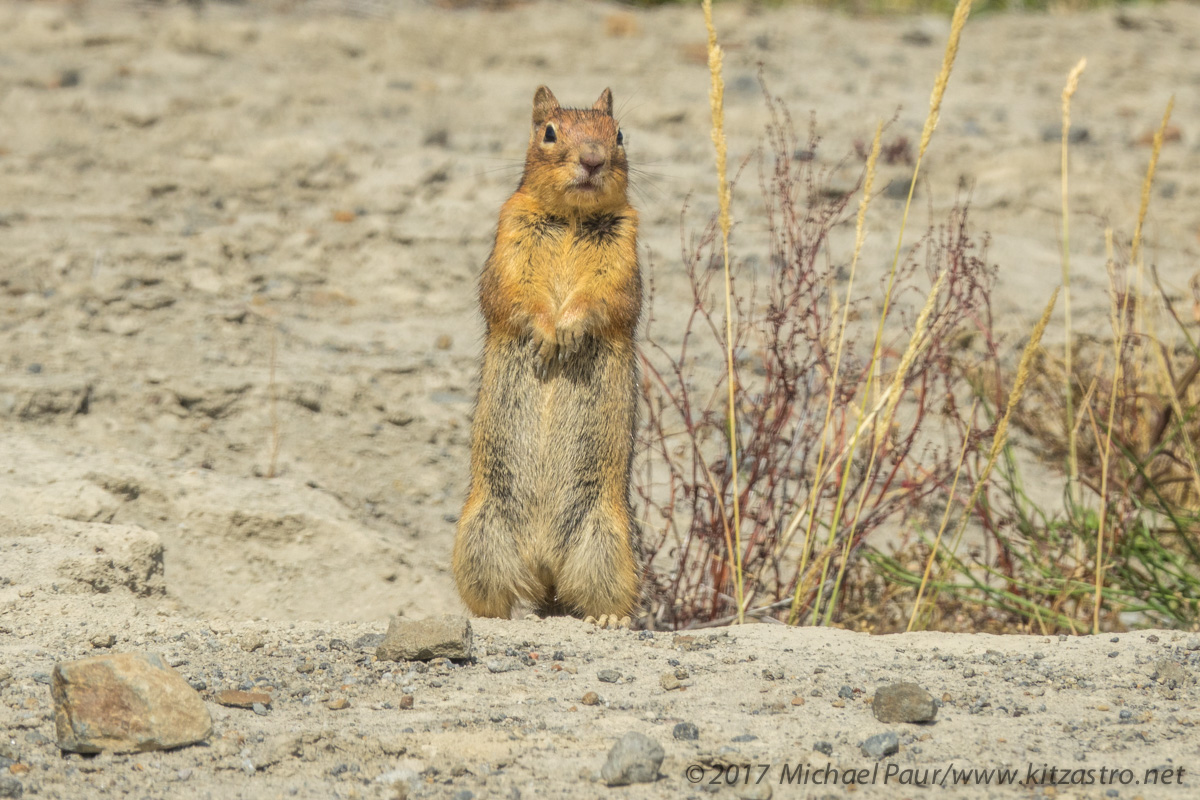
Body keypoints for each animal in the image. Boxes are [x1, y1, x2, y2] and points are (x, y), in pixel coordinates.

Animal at [451, 84, 643, 628]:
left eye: (619, 133)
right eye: (549, 132)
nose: (593, 160)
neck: (573, 217)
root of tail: (544, 563)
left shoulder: (624, 255)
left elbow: (604, 298)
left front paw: (569, 330)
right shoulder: (510, 240)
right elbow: (514, 293)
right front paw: (546, 334)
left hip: (607, 542)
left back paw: (610, 619)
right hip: (478, 537)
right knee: (495, 595)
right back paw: (493, 618)